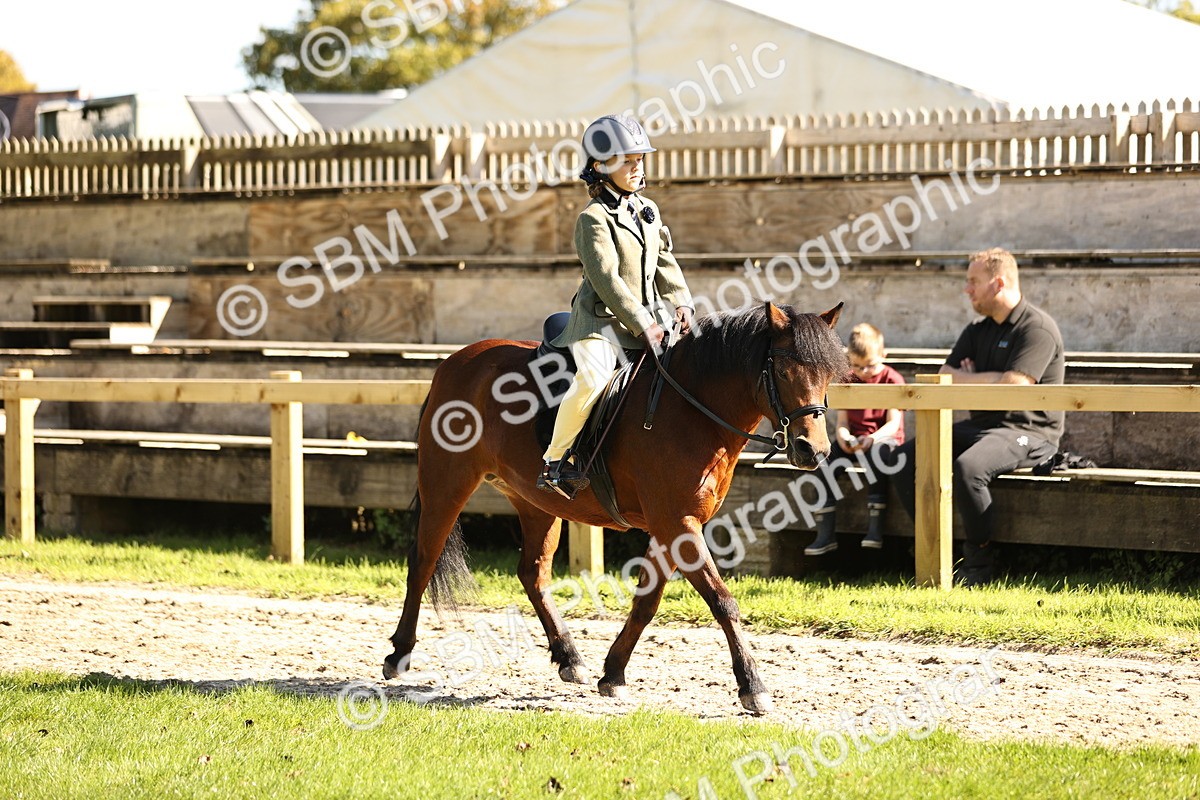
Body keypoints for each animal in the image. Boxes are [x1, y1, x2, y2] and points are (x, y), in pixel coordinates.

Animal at [383, 301, 847, 713]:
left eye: (828, 375)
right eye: (783, 371)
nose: (814, 450)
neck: (693, 408)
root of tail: (456, 362)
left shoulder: (671, 526)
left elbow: (647, 602)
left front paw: (614, 674)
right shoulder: (678, 523)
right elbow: (722, 600)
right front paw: (753, 685)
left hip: (536, 502)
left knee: (532, 574)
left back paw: (569, 657)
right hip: (446, 484)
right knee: (423, 561)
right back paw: (399, 655)